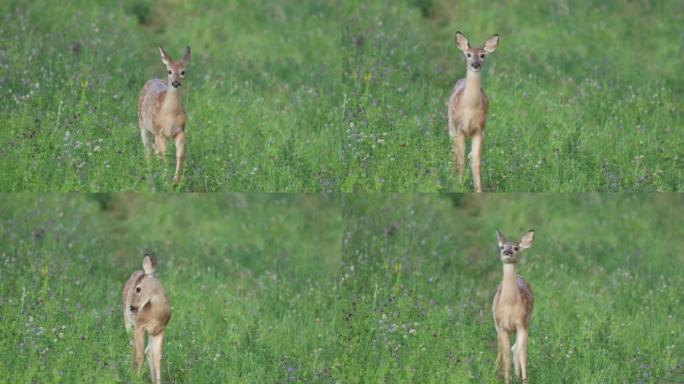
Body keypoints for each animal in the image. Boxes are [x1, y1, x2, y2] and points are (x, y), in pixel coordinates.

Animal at [123, 255, 172, 384]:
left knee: (148, 351)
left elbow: (157, 358)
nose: (131, 307)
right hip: (128, 323)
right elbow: (139, 355)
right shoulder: (139, 326)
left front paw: (158, 381)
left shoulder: (160, 330)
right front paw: (136, 378)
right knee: (132, 347)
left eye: (138, 289)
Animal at [138, 46, 190, 184]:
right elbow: (164, 154)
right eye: (169, 71)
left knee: (155, 150)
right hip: (143, 125)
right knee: (148, 149)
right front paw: (166, 177)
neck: (170, 115)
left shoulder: (181, 130)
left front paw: (176, 180)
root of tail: (152, 79)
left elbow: (180, 154)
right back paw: (150, 170)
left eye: (183, 72)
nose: (175, 83)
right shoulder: (159, 131)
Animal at [446, 31, 500, 192]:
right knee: (454, 155)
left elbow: (475, 162)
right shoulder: (459, 129)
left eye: (482, 55)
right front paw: (458, 186)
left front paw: (478, 190)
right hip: (451, 127)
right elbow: (460, 160)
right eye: (468, 54)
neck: (469, 110)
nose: (475, 64)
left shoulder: (480, 130)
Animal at [494, 230, 536, 382]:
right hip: (496, 324)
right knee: (502, 349)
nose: (507, 252)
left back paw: (517, 375)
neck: (509, 306)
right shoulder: (502, 326)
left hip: (527, 322)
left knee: (515, 349)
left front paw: (524, 380)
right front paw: (507, 380)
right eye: (501, 247)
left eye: (516, 248)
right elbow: (506, 359)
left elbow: (523, 355)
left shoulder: (522, 324)